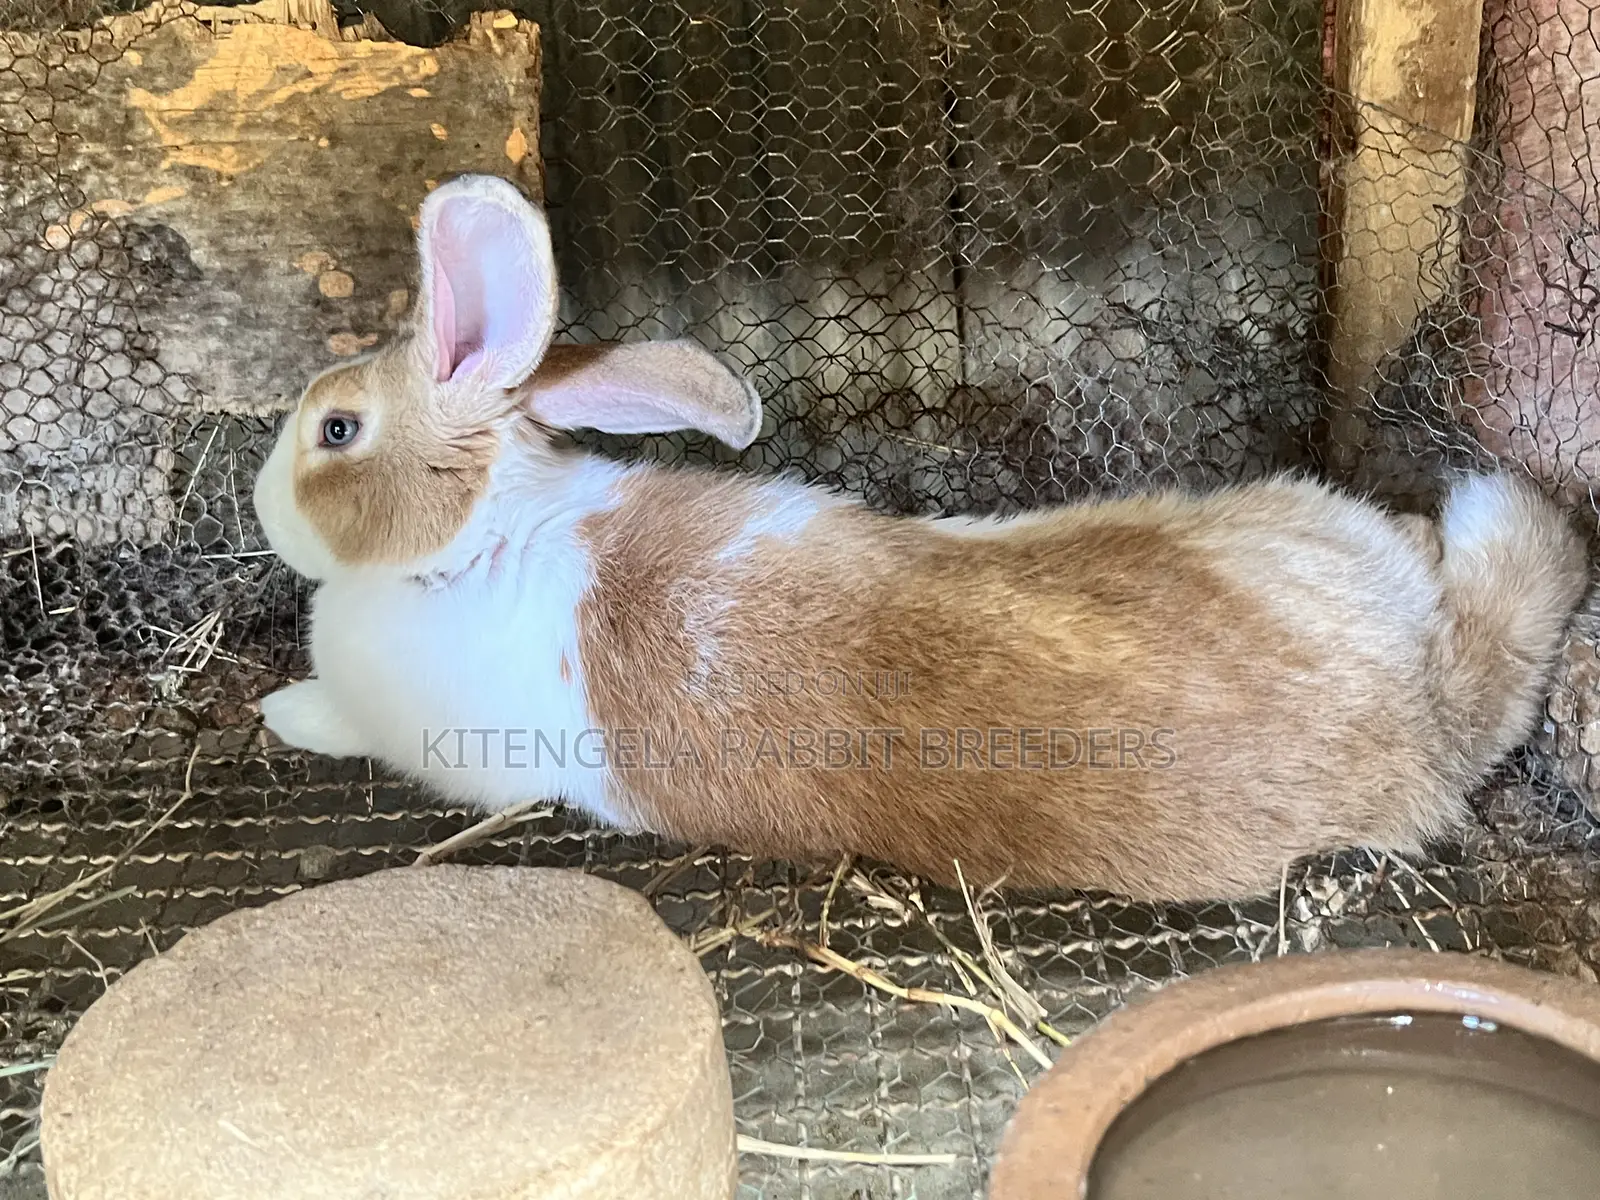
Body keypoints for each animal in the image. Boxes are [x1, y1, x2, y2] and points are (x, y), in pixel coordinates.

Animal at [252, 174, 1588, 903]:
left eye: (334, 429)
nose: (264, 506)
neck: (478, 532)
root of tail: (1426, 715)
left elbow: (339, 718)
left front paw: (281, 710)